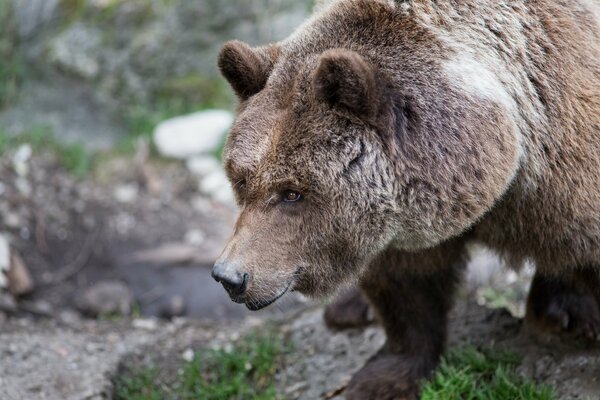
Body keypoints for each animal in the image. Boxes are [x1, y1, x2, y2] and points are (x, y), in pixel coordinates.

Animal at [211, 0, 600, 396]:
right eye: (241, 180)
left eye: (292, 192)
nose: (230, 277)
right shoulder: (394, 222)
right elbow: (406, 286)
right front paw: (384, 377)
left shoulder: (562, 166)